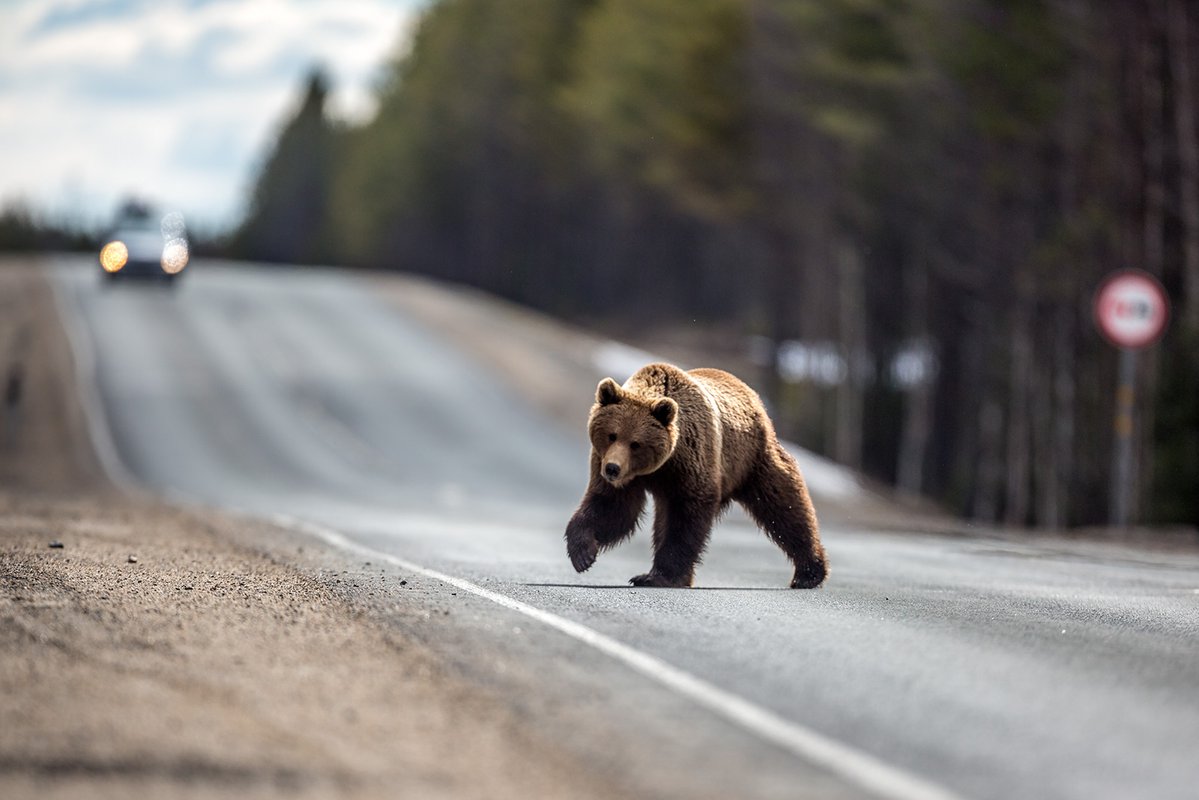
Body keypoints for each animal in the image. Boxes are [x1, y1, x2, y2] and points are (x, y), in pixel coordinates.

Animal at [561, 362, 824, 587]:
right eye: (612, 435)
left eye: (636, 443)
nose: (612, 469)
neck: (659, 466)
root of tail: (752, 395)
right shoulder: (617, 469)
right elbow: (613, 506)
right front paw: (583, 553)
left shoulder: (691, 461)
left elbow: (686, 516)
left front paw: (661, 575)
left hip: (752, 459)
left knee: (784, 505)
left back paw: (809, 572)